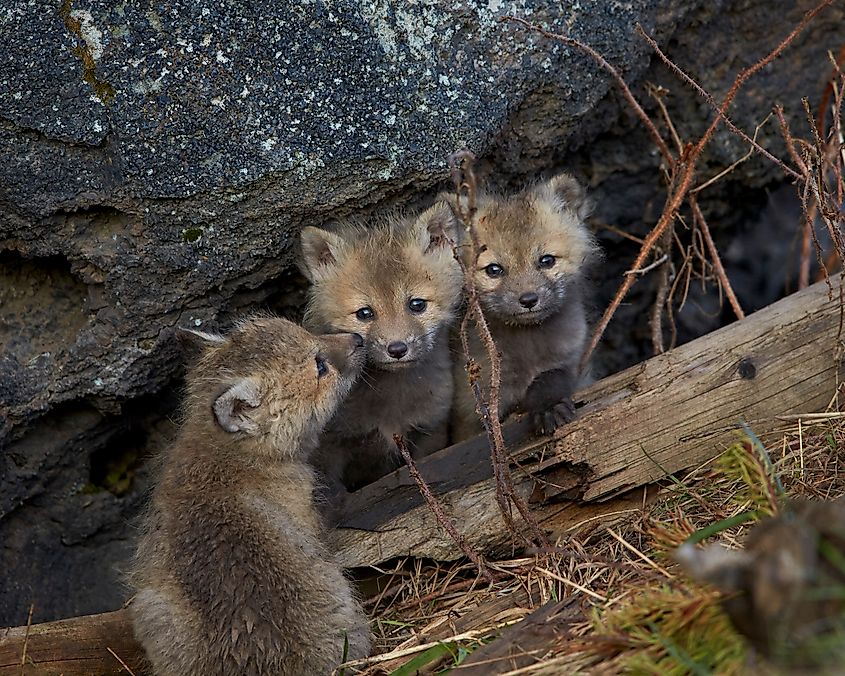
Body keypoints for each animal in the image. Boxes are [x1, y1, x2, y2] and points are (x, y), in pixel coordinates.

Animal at [299, 203, 462, 494]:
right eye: (364, 313)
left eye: (417, 304)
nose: (396, 349)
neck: (392, 401)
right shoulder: (331, 447)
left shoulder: (430, 431)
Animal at [449, 173, 599, 442]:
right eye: (494, 270)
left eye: (547, 260)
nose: (528, 300)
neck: (528, 350)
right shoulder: (473, 407)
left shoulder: (572, 363)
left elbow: (551, 377)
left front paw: (548, 407)